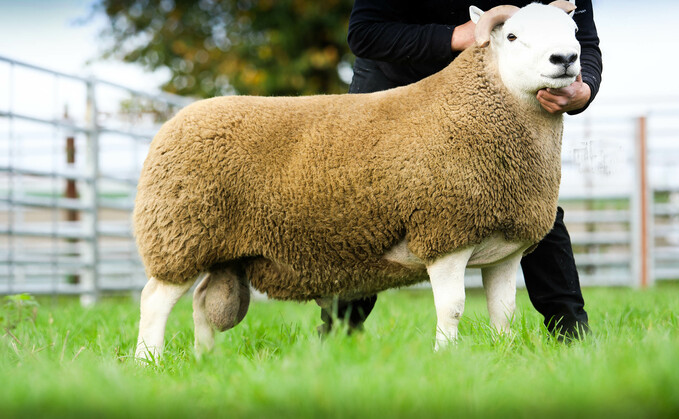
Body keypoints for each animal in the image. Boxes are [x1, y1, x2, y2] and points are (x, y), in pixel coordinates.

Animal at [135, 0, 580, 360]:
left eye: (575, 31)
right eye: (513, 35)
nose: (566, 58)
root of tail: (176, 121)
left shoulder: (506, 246)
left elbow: (503, 311)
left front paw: (503, 354)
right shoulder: (443, 233)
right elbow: (452, 307)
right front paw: (445, 357)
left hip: (221, 249)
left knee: (201, 301)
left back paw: (205, 358)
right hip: (179, 234)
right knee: (154, 300)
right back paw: (149, 362)